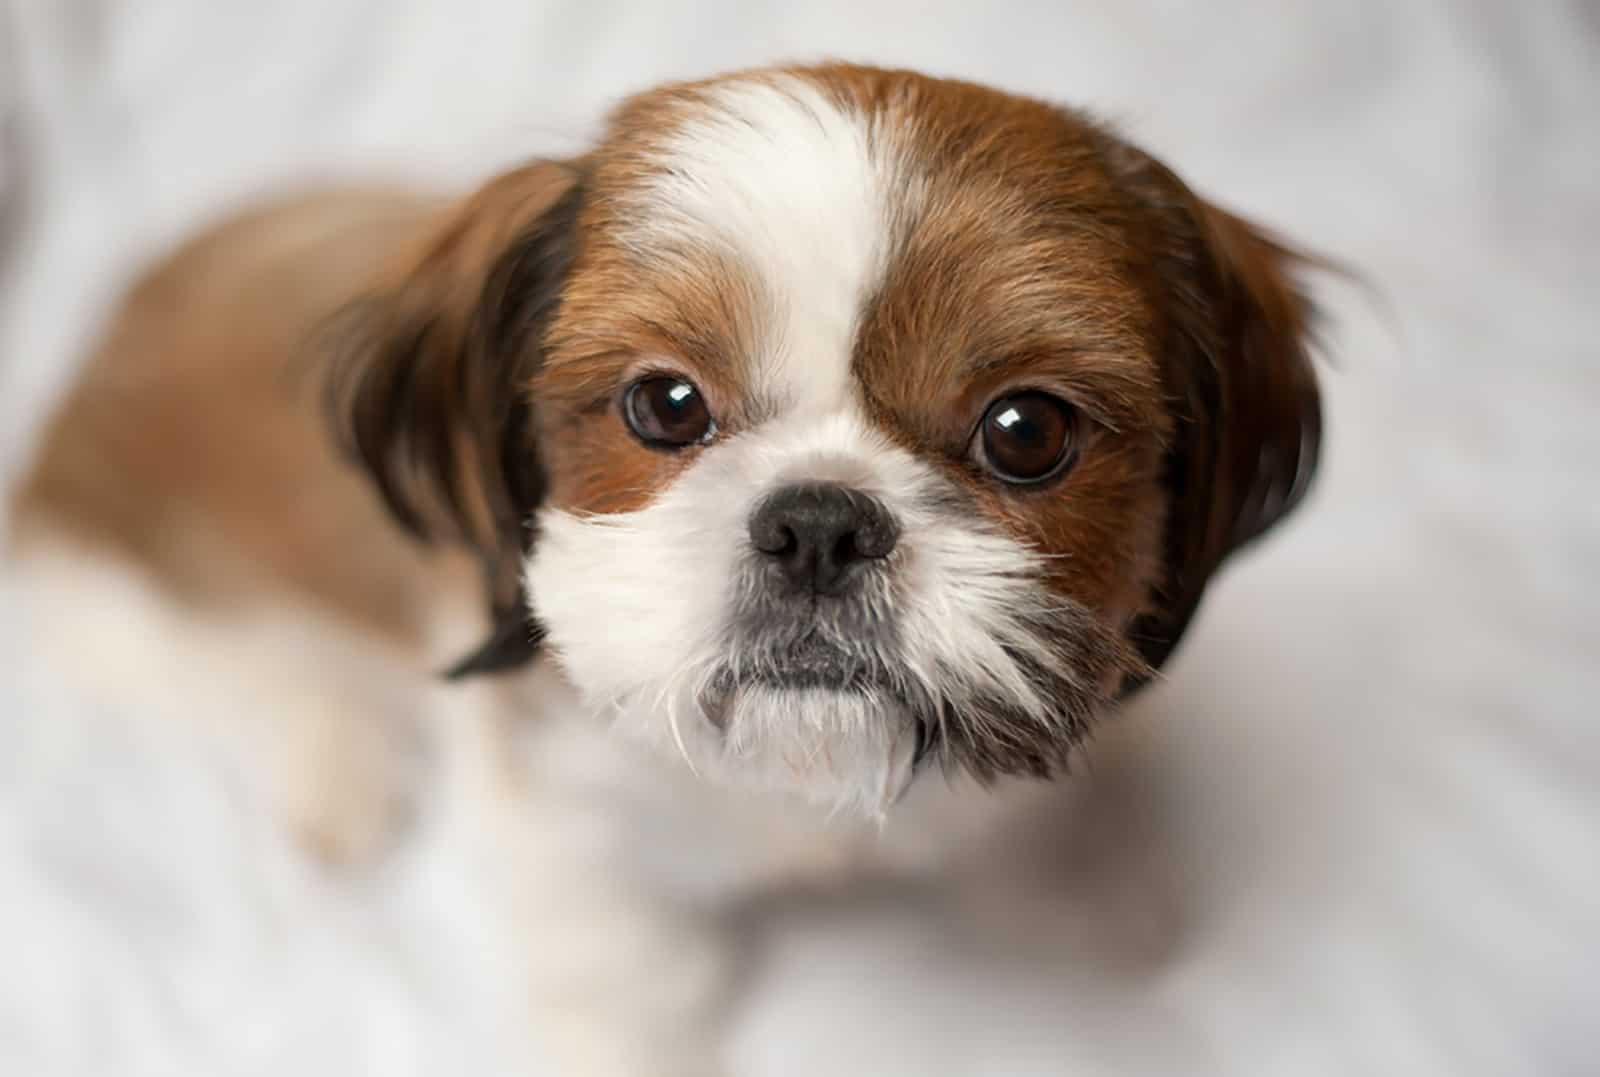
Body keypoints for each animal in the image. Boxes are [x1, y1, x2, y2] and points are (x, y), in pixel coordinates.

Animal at [12, 63, 1324, 1068]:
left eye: (1026, 430)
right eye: (664, 405)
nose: (819, 523)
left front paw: (1075, 874)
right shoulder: (560, 810)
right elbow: (616, 959)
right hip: (115, 595)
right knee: (254, 671)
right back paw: (336, 769)